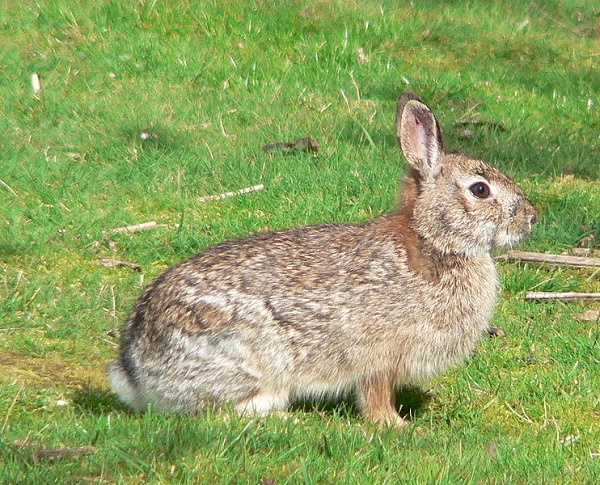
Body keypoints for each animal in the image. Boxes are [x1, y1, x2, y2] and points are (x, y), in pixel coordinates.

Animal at [109, 91, 540, 424]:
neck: (432, 241)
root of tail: (134, 370)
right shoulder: (379, 356)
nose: (532, 218)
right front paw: (395, 426)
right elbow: (375, 396)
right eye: (480, 190)